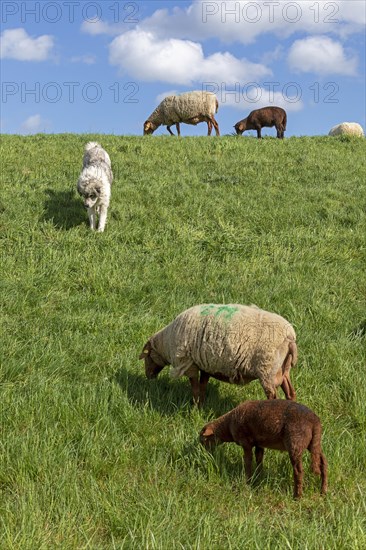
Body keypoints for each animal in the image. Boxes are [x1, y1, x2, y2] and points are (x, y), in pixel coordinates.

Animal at [139, 304, 298, 408]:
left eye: (147, 356)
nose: (148, 376)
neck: (166, 343)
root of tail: (290, 337)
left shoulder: (189, 362)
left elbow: (195, 386)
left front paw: (194, 406)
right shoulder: (206, 363)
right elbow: (203, 385)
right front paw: (201, 405)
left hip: (267, 369)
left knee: (273, 396)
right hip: (281, 370)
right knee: (290, 393)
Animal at [200, 402, 328, 500]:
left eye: (204, 440)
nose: (203, 452)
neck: (227, 426)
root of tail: (314, 422)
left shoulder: (246, 442)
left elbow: (248, 462)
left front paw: (247, 481)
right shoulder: (259, 443)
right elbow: (259, 460)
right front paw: (259, 477)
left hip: (295, 442)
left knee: (298, 471)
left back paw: (297, 496)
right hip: (314, 444)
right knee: (323, 463)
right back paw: (323, 491)